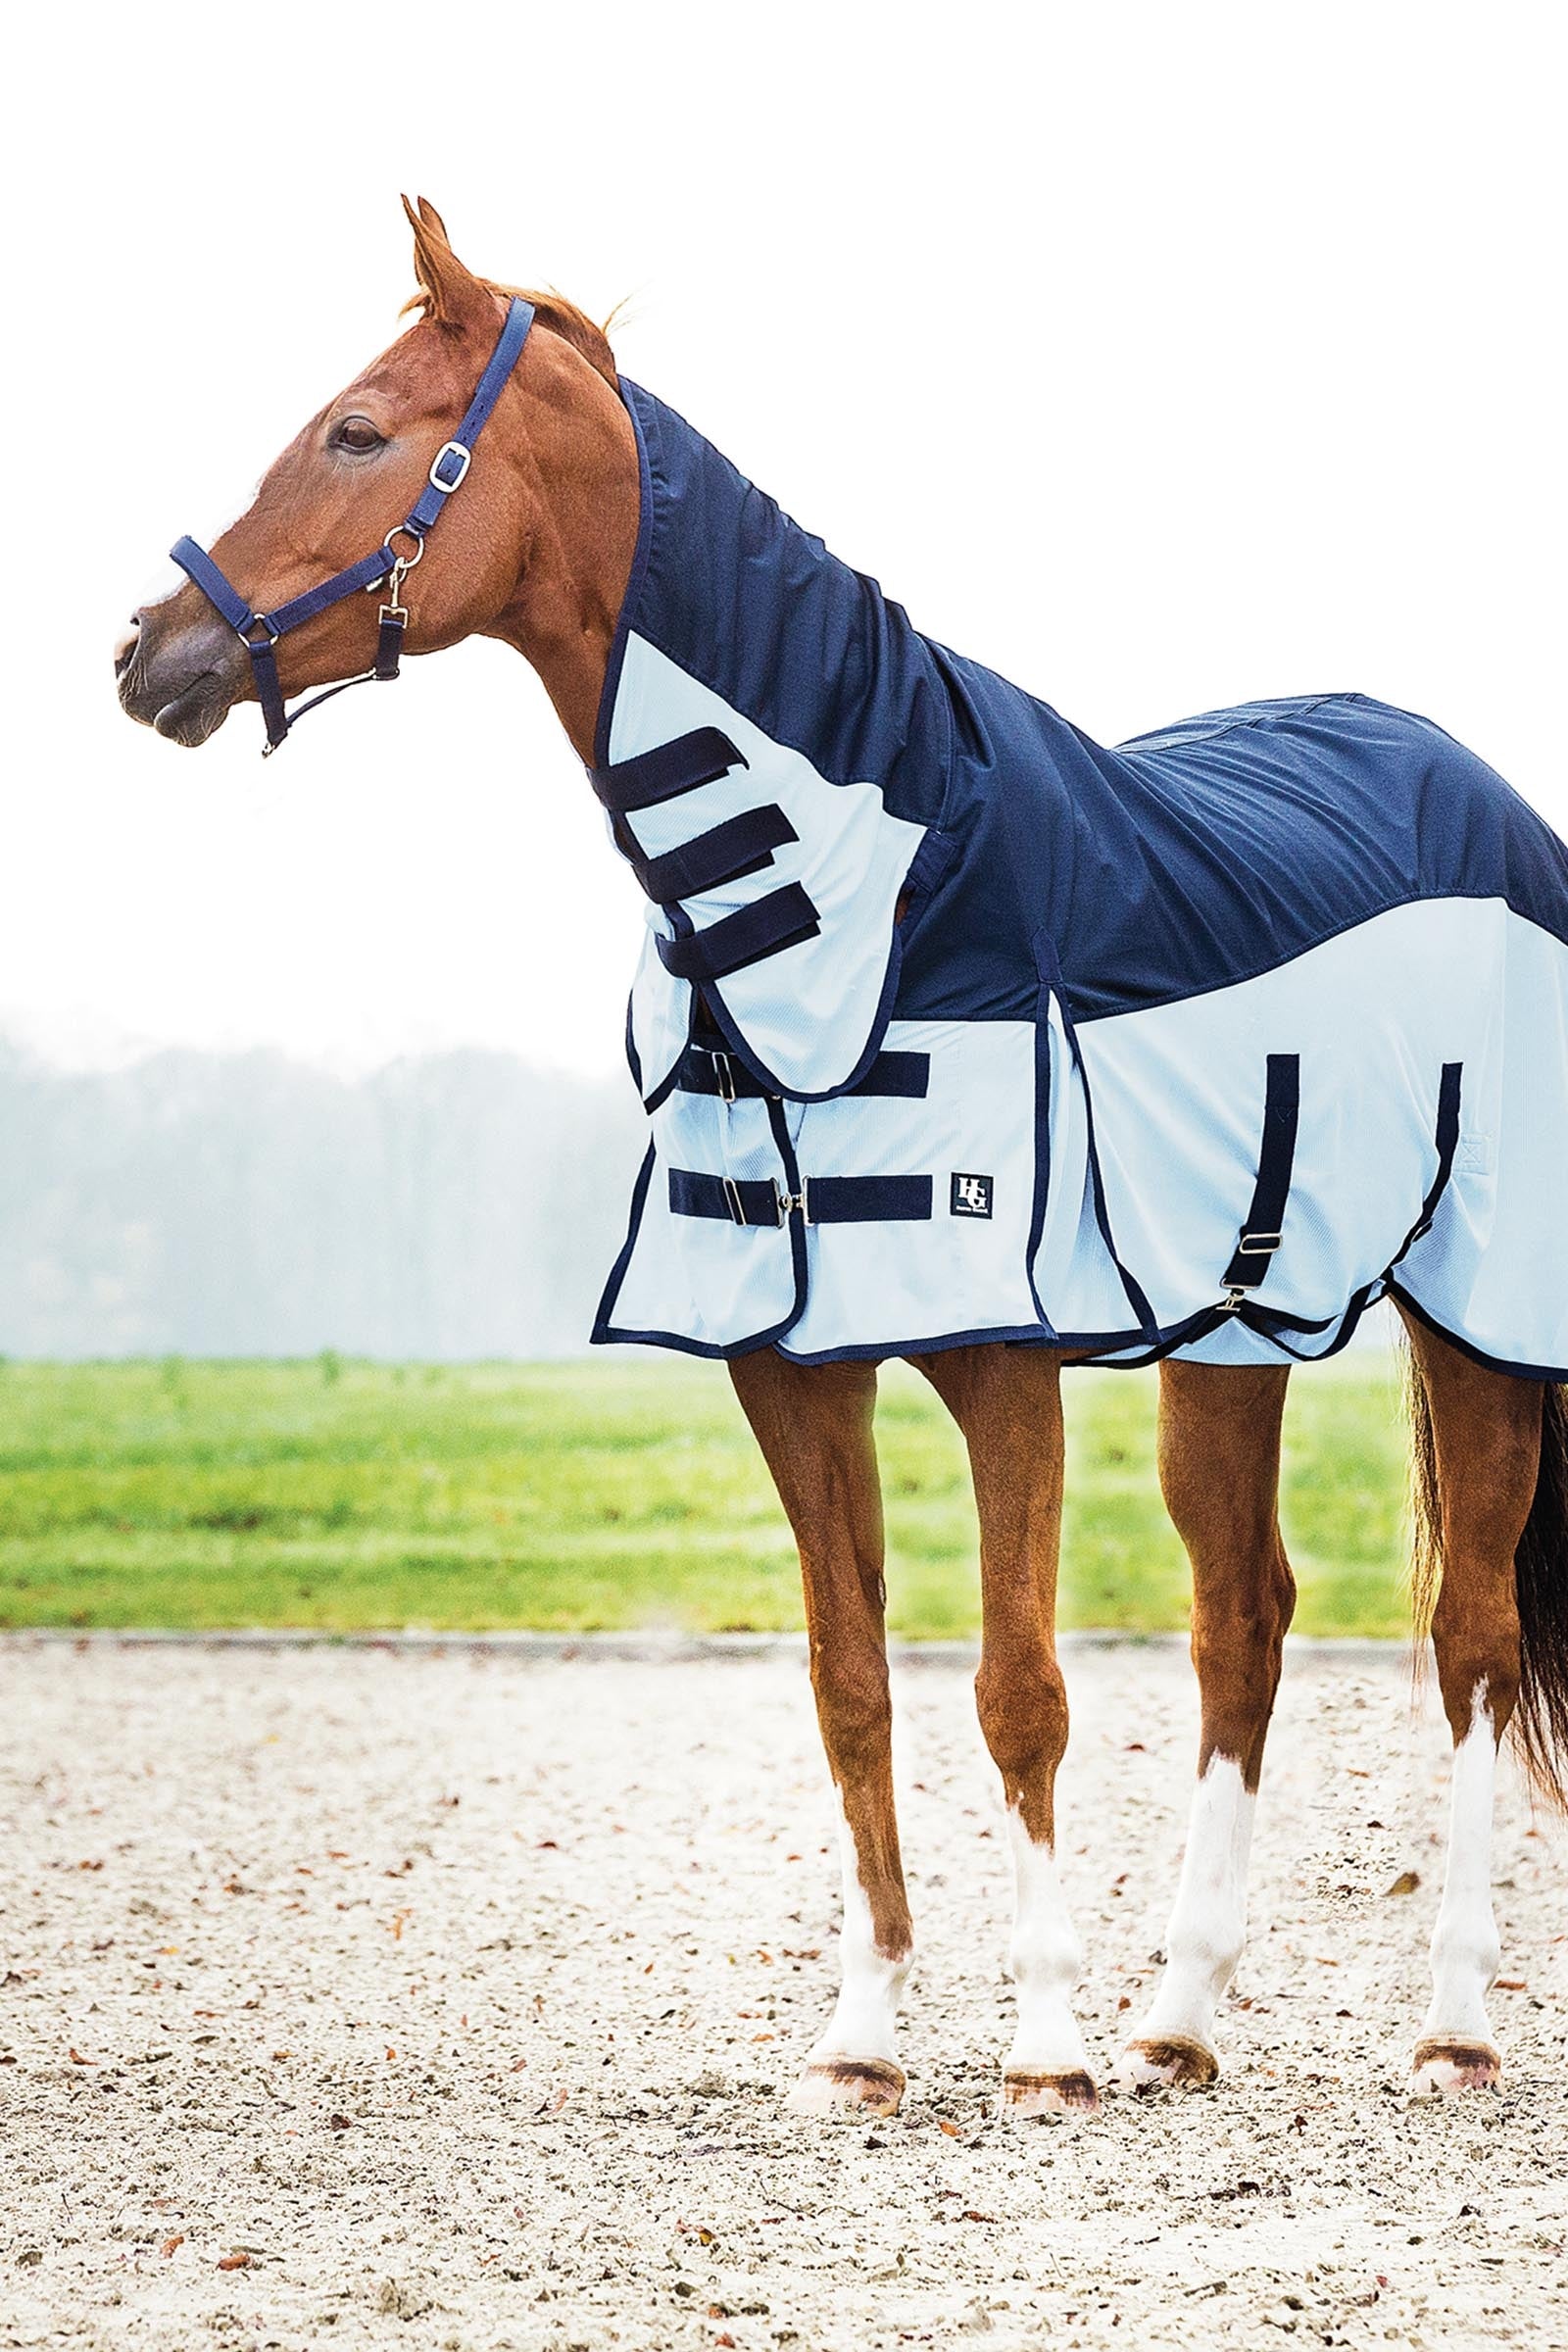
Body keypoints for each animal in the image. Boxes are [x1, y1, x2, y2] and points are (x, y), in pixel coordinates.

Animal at [116, 196, 1568, 2119]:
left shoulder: (1000, 1358)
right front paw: (865, 2039)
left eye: (355, 431)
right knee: (1241, 1620)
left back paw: (1451, 2020)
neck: (873, 893)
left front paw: (1039, 2046)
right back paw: (1179, 2013)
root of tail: (1488, 800)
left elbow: (1019, 1685)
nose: (145, 652)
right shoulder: (790, 1365)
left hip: (1480, 1311)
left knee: (1470, 1633)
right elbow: (849, 1678)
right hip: (1239, 1332)